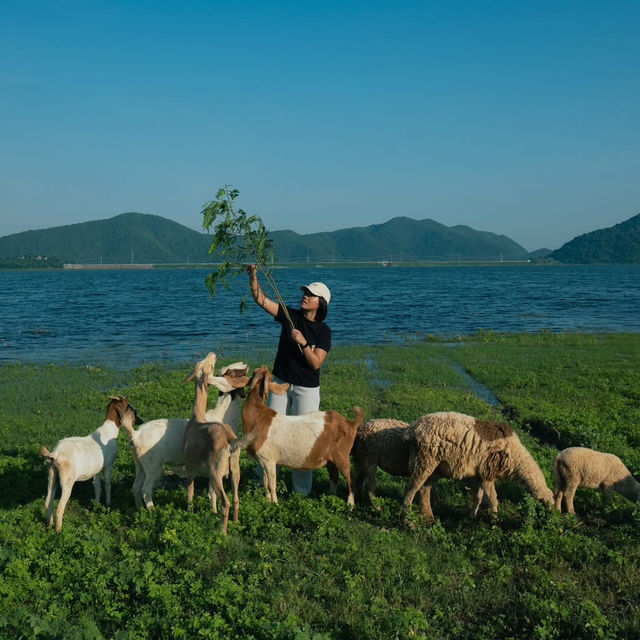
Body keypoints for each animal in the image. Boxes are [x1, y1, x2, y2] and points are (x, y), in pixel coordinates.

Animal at [40, 398, 142, 532]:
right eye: (131, 409)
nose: (141, 421)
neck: (108, 432)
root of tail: (55, 454)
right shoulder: (109, 465)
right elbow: (108, 485)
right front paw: (108, 504)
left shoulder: (96, 470)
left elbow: (97, 487)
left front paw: (96, 505)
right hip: (67, 482)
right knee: (60, 508)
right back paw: (58, 531)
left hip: (52, 477)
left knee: (48, 503)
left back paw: (49, 524)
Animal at [124, 362, 249, 508]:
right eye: (232, 371)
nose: (245, 364)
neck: (221, 415)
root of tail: (136, 434)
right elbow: (212, 491)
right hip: (152, 466)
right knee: (145, 490)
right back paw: (152, 510)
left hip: (140, 465)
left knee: (136, 487)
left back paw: (140, 510)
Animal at [402, 412, 552, 524]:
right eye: (547, 506)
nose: (549, 523)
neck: (516, 460)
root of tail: (413, 429)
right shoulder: (487, 474)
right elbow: (493, 498)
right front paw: (494, 519)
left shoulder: (479, 475)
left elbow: (478, 497)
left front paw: (471, 516)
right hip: (423, 461)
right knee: (411, 490)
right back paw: (407, 520)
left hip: (434, 467)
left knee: (423, 489)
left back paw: (427, 515)